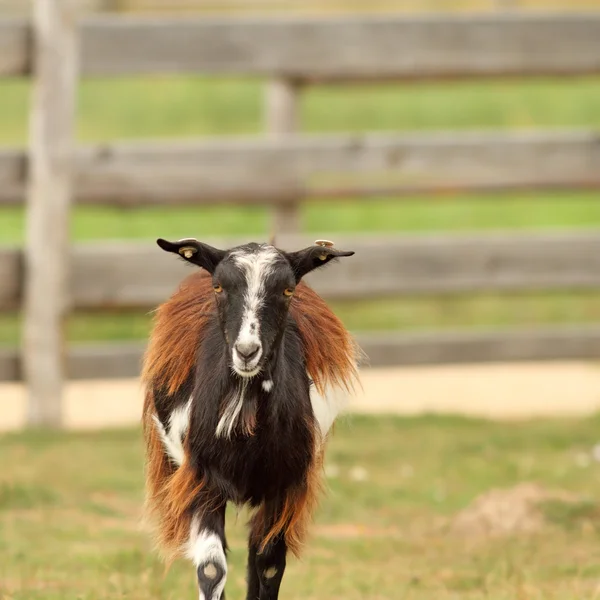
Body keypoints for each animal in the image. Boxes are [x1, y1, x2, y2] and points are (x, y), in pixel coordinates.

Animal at [141, 239, 358, 600]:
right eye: (219, 286)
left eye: (287, 289)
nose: (246, 351)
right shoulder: (200, 480)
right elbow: (212, 569)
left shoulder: (286, 486)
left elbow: (268, 564)